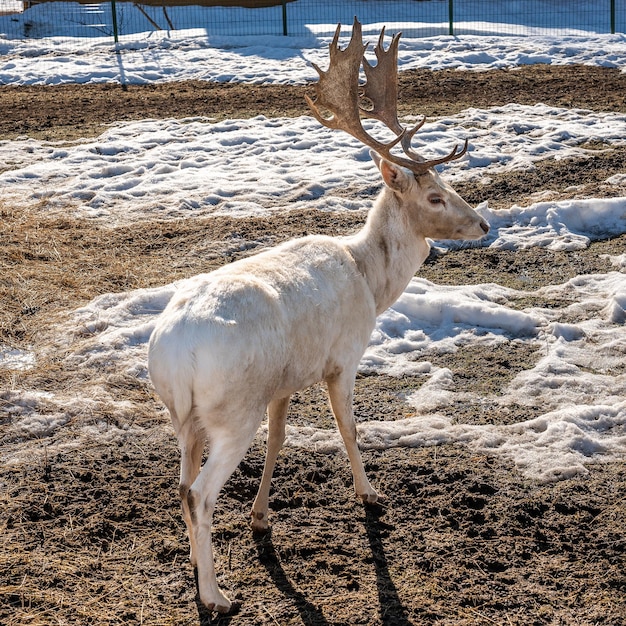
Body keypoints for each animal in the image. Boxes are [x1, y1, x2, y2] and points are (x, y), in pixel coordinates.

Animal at [146, 18, 488, 608]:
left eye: (448, 188)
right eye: (435, 197)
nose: (485, 225)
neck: (371, 281)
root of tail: (173, 353)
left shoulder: (283, 382)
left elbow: (280, 439)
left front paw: (262, 518)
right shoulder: (342, 357)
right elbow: (348, 426)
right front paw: (370, 494)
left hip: (184, 416)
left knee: (180, 484)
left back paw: (196, 570)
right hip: (232, 410)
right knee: (199, 494)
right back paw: (216, 596)